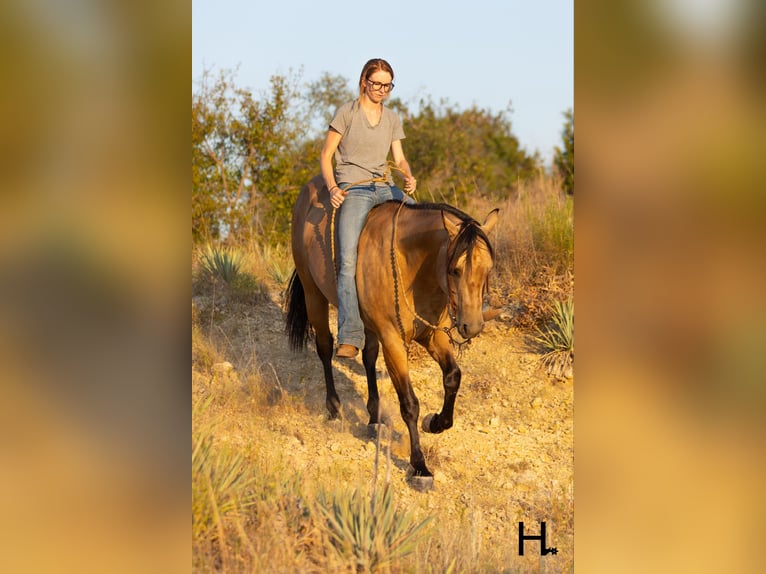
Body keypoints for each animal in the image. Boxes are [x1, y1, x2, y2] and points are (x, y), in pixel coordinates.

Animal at [285, 175, 498, 490]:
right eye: (455, 270)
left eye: (488, 269)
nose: (471, 326)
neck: (411, 265)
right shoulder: (394, 342)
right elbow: (409, 404)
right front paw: (420, 467)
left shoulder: (432, 336)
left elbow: (452, 377)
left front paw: (436, 423)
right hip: (314, 296)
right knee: (324, 348)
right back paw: (334, 409)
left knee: (368, 357)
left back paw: (374, 419)